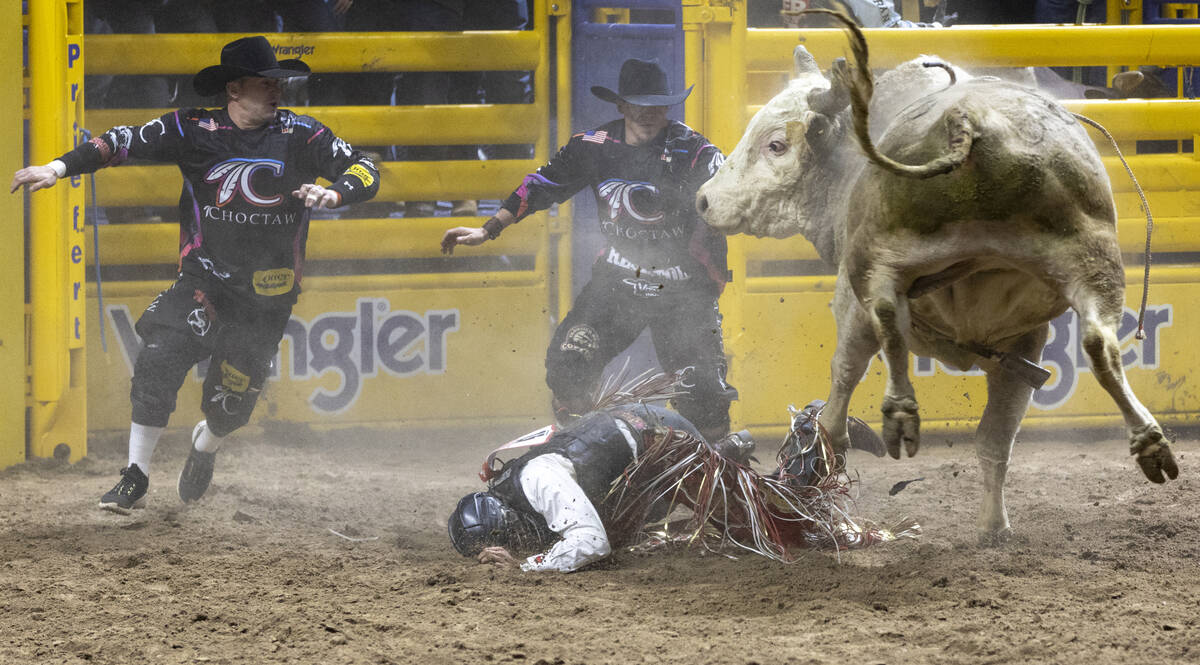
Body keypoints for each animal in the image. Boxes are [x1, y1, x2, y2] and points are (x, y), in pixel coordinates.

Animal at [700, 12, 1176, 540]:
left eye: (776, 144)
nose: (704, 199)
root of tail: (967, 121)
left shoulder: (849, 299)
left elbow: (843, 377)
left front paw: (827, 446)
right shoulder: (1025, 344)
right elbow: (995, 437)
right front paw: (993, 527)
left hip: (873, 253)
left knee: (884, 309)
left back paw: (899, 411)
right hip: (1092, 259)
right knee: (1099, 344)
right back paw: (1150, 442)